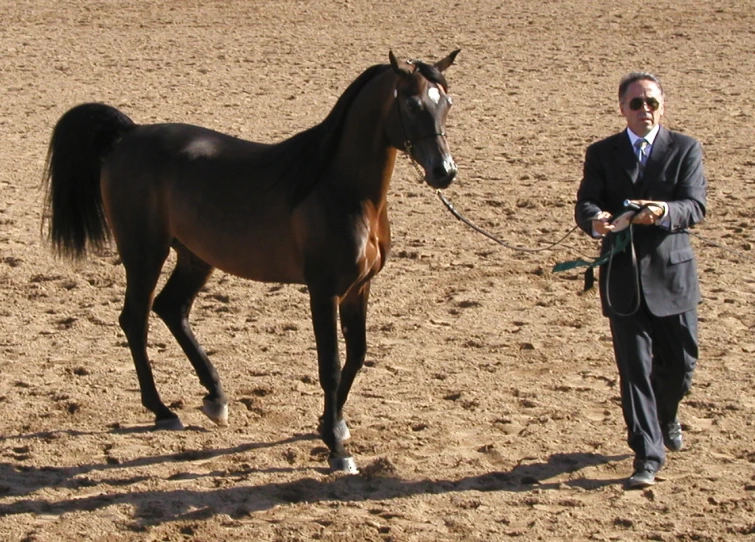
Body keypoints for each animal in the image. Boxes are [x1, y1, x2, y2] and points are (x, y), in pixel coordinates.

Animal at [41, 52, 460, 476]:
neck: (339, 187)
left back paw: (216, 398)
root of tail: (130, 134)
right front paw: (336, 446)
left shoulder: (359, 288)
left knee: (171, 308)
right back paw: (162, 410)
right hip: (144, 252)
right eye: (412, 104)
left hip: (195, 256)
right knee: (135, 320)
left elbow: (357, 356)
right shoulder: (323, 291)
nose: (444, 172)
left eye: (446, 102)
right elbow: (331, 365)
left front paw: (331, 424)